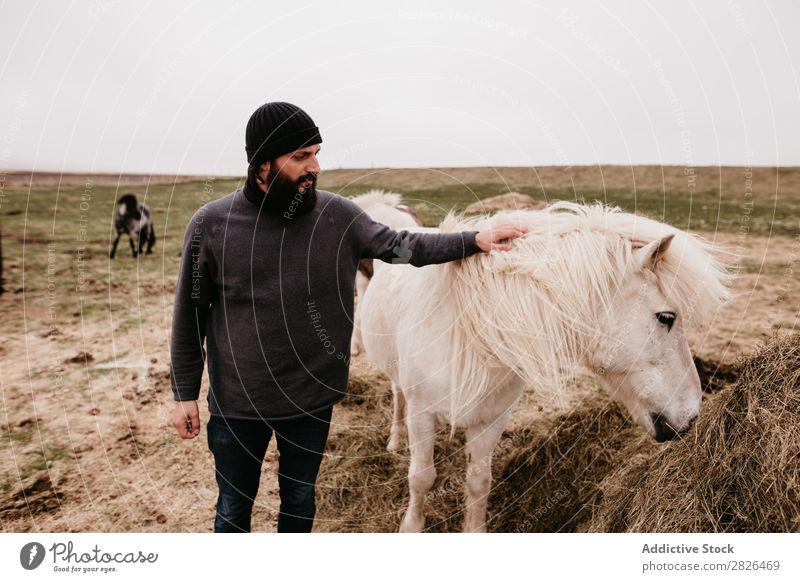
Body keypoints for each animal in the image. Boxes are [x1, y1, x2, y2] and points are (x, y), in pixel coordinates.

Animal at [360, 201, 736, 532]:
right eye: (666, 317)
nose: (691, 416)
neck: (470, 329)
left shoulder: (491, 418)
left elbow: (479, 482)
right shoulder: (423, 413)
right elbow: (421, 478)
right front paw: (410, 528)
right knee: (398, 395)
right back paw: (395, 441)